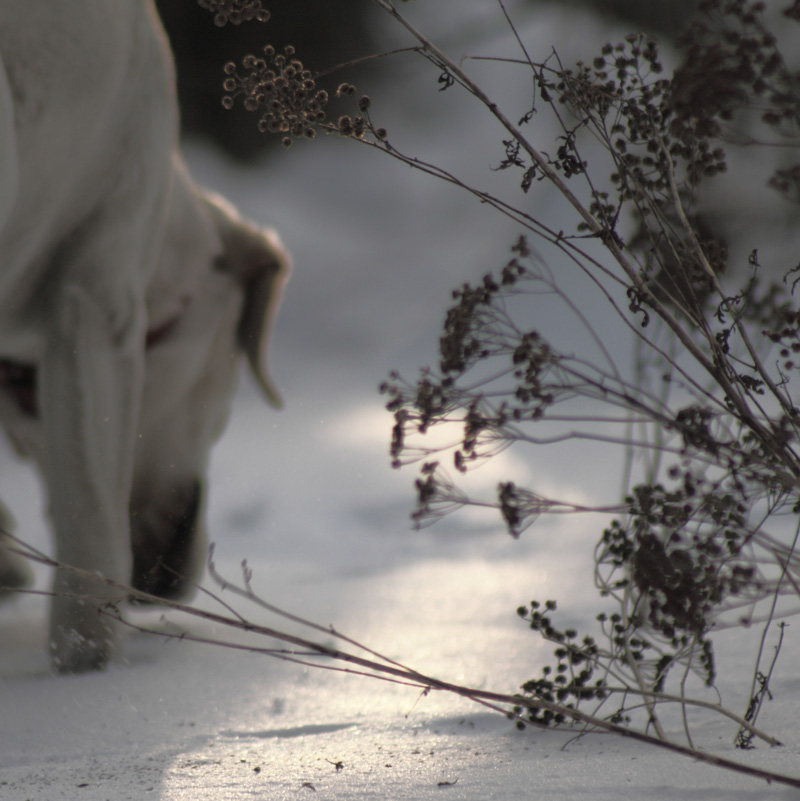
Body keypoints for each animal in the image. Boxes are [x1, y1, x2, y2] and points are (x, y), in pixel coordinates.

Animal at [0, 3, 290, 672]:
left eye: (20, 386)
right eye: (160, 333)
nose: (158, 574)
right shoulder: (96, 287)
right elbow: (92, 534)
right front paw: (90, 662)